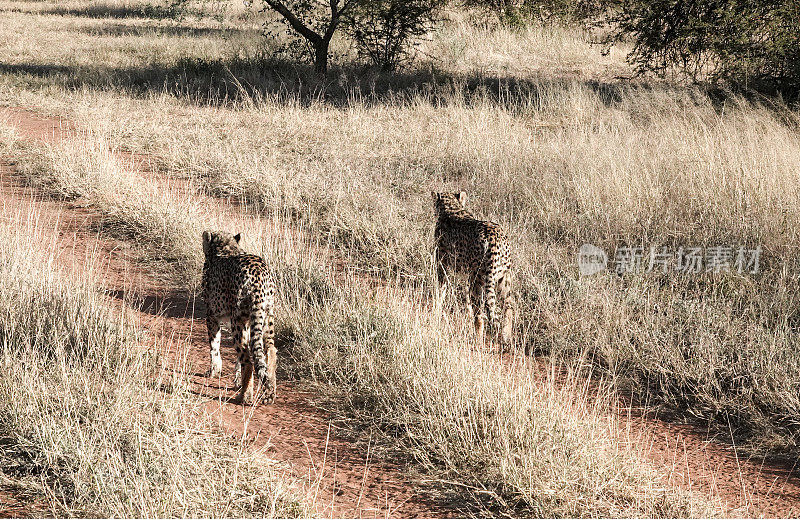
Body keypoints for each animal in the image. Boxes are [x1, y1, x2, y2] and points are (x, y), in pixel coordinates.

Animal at [202, 232, 276, 406]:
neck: (226, 249)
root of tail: (258, 273)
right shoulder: (247, 321)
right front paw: (238, 381)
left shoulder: (211, 315)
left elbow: (214, 346)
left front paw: (214, 371)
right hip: (266, 315)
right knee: (269, 351)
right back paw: (269, 393)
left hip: (238, 320)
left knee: (248, 360)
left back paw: (244, 397)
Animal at [434, 191, 516, 346]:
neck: (452, 208)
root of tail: (494, 238)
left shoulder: (443, 264)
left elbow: (441, 288)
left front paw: (436, 307)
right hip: (504, 276)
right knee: (509, 306)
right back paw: (506, 336)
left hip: (477, 277)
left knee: (480, 313)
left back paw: (477, 338)